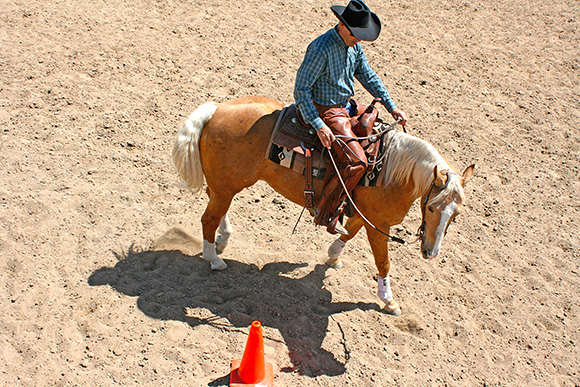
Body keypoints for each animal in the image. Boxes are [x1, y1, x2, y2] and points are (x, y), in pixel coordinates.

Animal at [171, 96, 472, 316]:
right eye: (431, 208)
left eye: (455, 216)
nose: (431, 253)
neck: (389, 170)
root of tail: (217, 109)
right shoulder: (379, 223)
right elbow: (383, 261)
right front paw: (389, 300)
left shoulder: (362, 213)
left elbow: (348, 232)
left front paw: (333, 256)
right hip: (227, 186)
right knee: (208, 218)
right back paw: (214, 259)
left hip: (226, 185)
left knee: (215, 205)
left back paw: (224, 238)